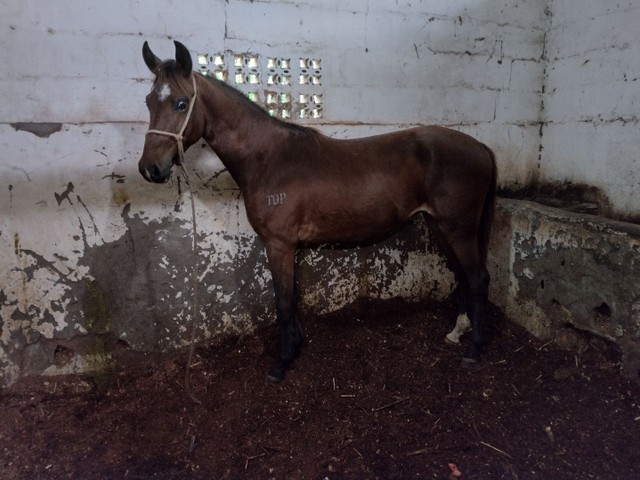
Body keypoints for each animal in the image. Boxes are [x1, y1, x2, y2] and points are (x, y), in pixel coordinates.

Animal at [139, 41, 500, 382]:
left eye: (181, 103)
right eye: (148, 101)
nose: (150, 169)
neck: (267, 159)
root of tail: (481, 147)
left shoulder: (280, 244)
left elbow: (283, 302)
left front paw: (282, 363)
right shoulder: (289, 247)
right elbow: (291, 297)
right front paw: (296, 347)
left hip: (458, 228)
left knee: (478, 278)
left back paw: (473, 350)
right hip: (440, 226)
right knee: (463, 275)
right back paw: (457, 332)